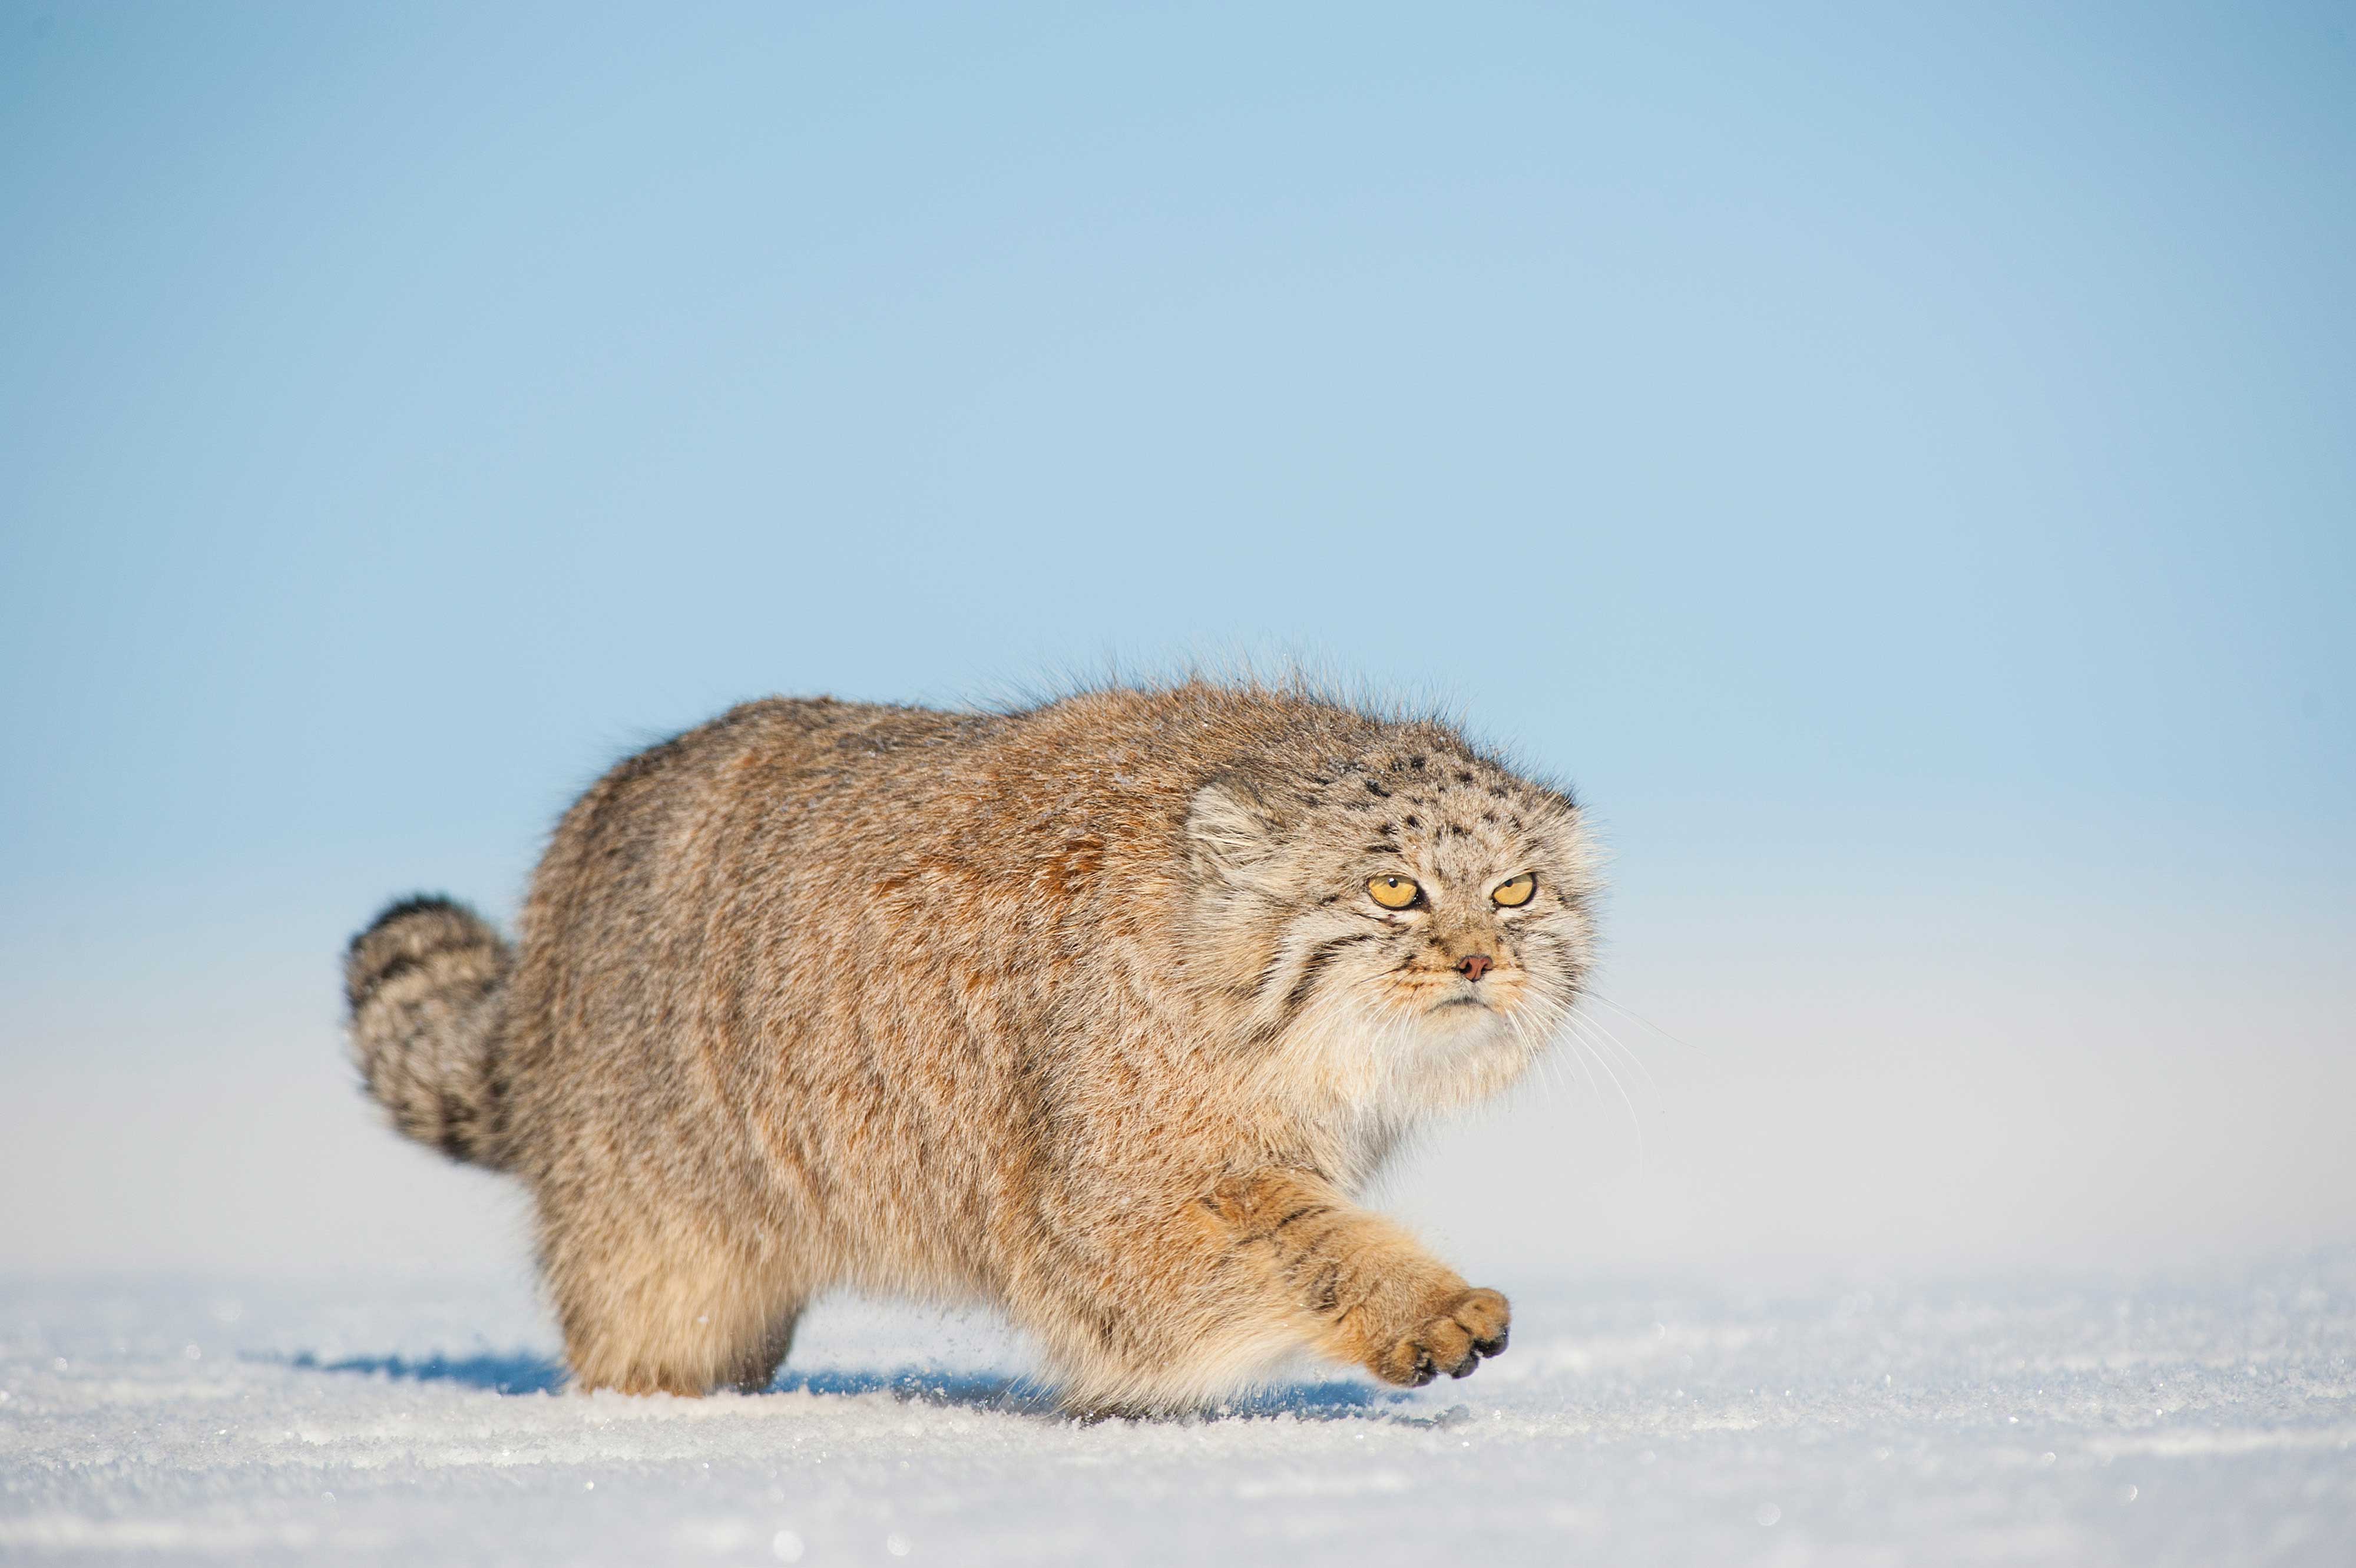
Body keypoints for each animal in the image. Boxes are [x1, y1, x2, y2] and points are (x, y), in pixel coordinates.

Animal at [344, 678, 1602, 1412]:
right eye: (1394, 887)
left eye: (1516, 888)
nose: (1480, 961)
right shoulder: (1107, 1205)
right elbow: (1299, 1242)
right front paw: (1417, 1304)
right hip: (658, 1243)